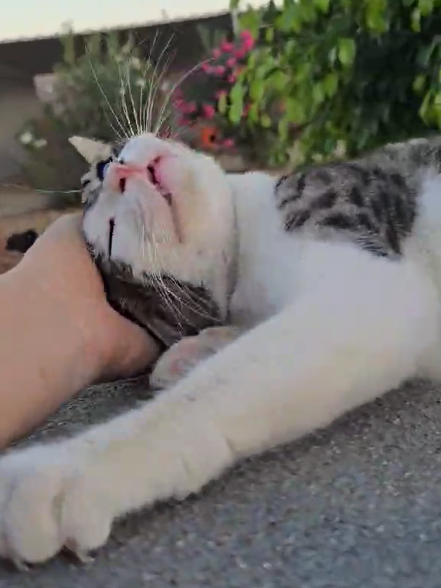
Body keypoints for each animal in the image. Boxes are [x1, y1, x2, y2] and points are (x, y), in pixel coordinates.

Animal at [0, 132, 440, 568]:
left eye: (108, 161)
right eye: (111, 230)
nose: (121, 172)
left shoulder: (364, 287)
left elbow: (200, 397)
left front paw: (57, 473)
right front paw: (193, 351)